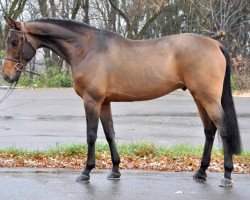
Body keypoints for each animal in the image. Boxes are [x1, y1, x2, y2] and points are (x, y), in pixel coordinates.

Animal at [0, 16, 241, 187]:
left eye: (15, 41)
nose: (7, 76)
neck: (86, 48)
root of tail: (215, 44)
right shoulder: (104, 102)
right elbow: (110, 134)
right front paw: (115, 171)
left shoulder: (92, 101)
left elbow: (91, 135)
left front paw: (86, 172)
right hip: (199, 97)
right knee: (209, 131)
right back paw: (200, 172)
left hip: (208, 98)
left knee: (223, 129)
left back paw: (227, 175)